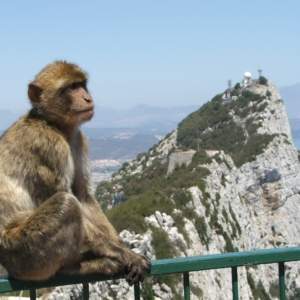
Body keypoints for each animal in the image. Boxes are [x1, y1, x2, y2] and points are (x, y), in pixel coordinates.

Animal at [0, 61, 149, 284]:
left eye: (81, 85)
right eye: (70, 88)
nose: (87, 98)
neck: (52, 123)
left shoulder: (78, 139)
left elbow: (83, 195)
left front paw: (121, 245)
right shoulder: (49, 147)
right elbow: (69, 197)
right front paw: (122, 253)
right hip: (23, 252)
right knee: (66, 204)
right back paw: (72, 268)